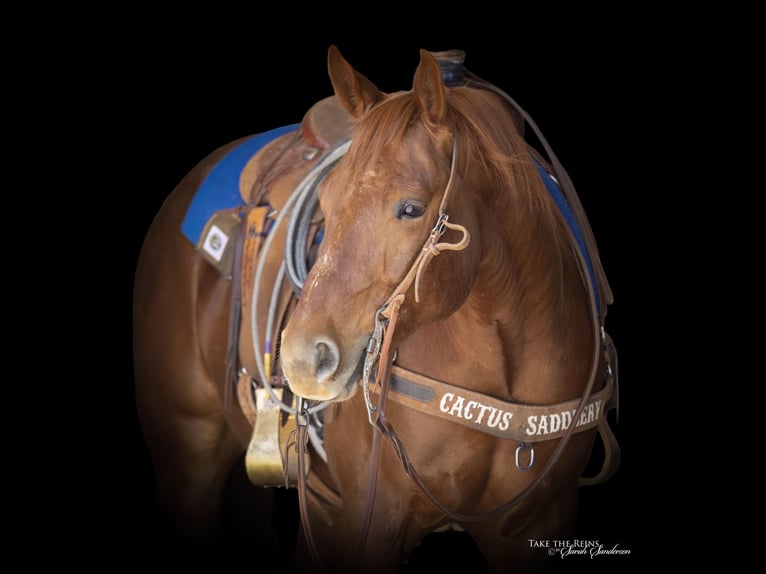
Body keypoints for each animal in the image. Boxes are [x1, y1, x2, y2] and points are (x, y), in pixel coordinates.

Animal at [133, 45, 620, 573]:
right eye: (325, 200)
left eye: (411, 208)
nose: (302, 359)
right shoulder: (371, 522)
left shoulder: (536, 523)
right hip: (189, 459)